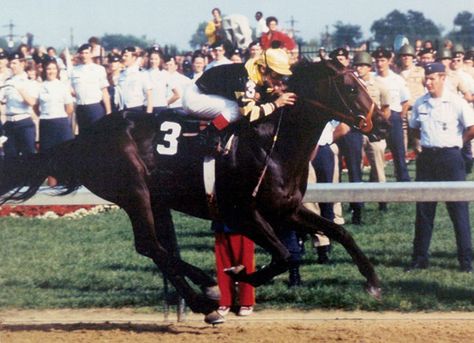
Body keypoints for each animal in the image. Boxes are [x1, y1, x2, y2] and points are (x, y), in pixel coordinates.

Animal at [0, 59, 384, 326]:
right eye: (351, 89)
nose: (380, 124)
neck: (271, 143)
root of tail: (82, 139)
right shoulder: (242, 212)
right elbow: (284, 255)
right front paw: (239, 275)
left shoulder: (286, 208)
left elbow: (339, 232)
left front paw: (373, 281)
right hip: (133, 192)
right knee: (150, 245)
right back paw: (207, 297)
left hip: (155, 198)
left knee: (160, 248)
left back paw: (207, 294)